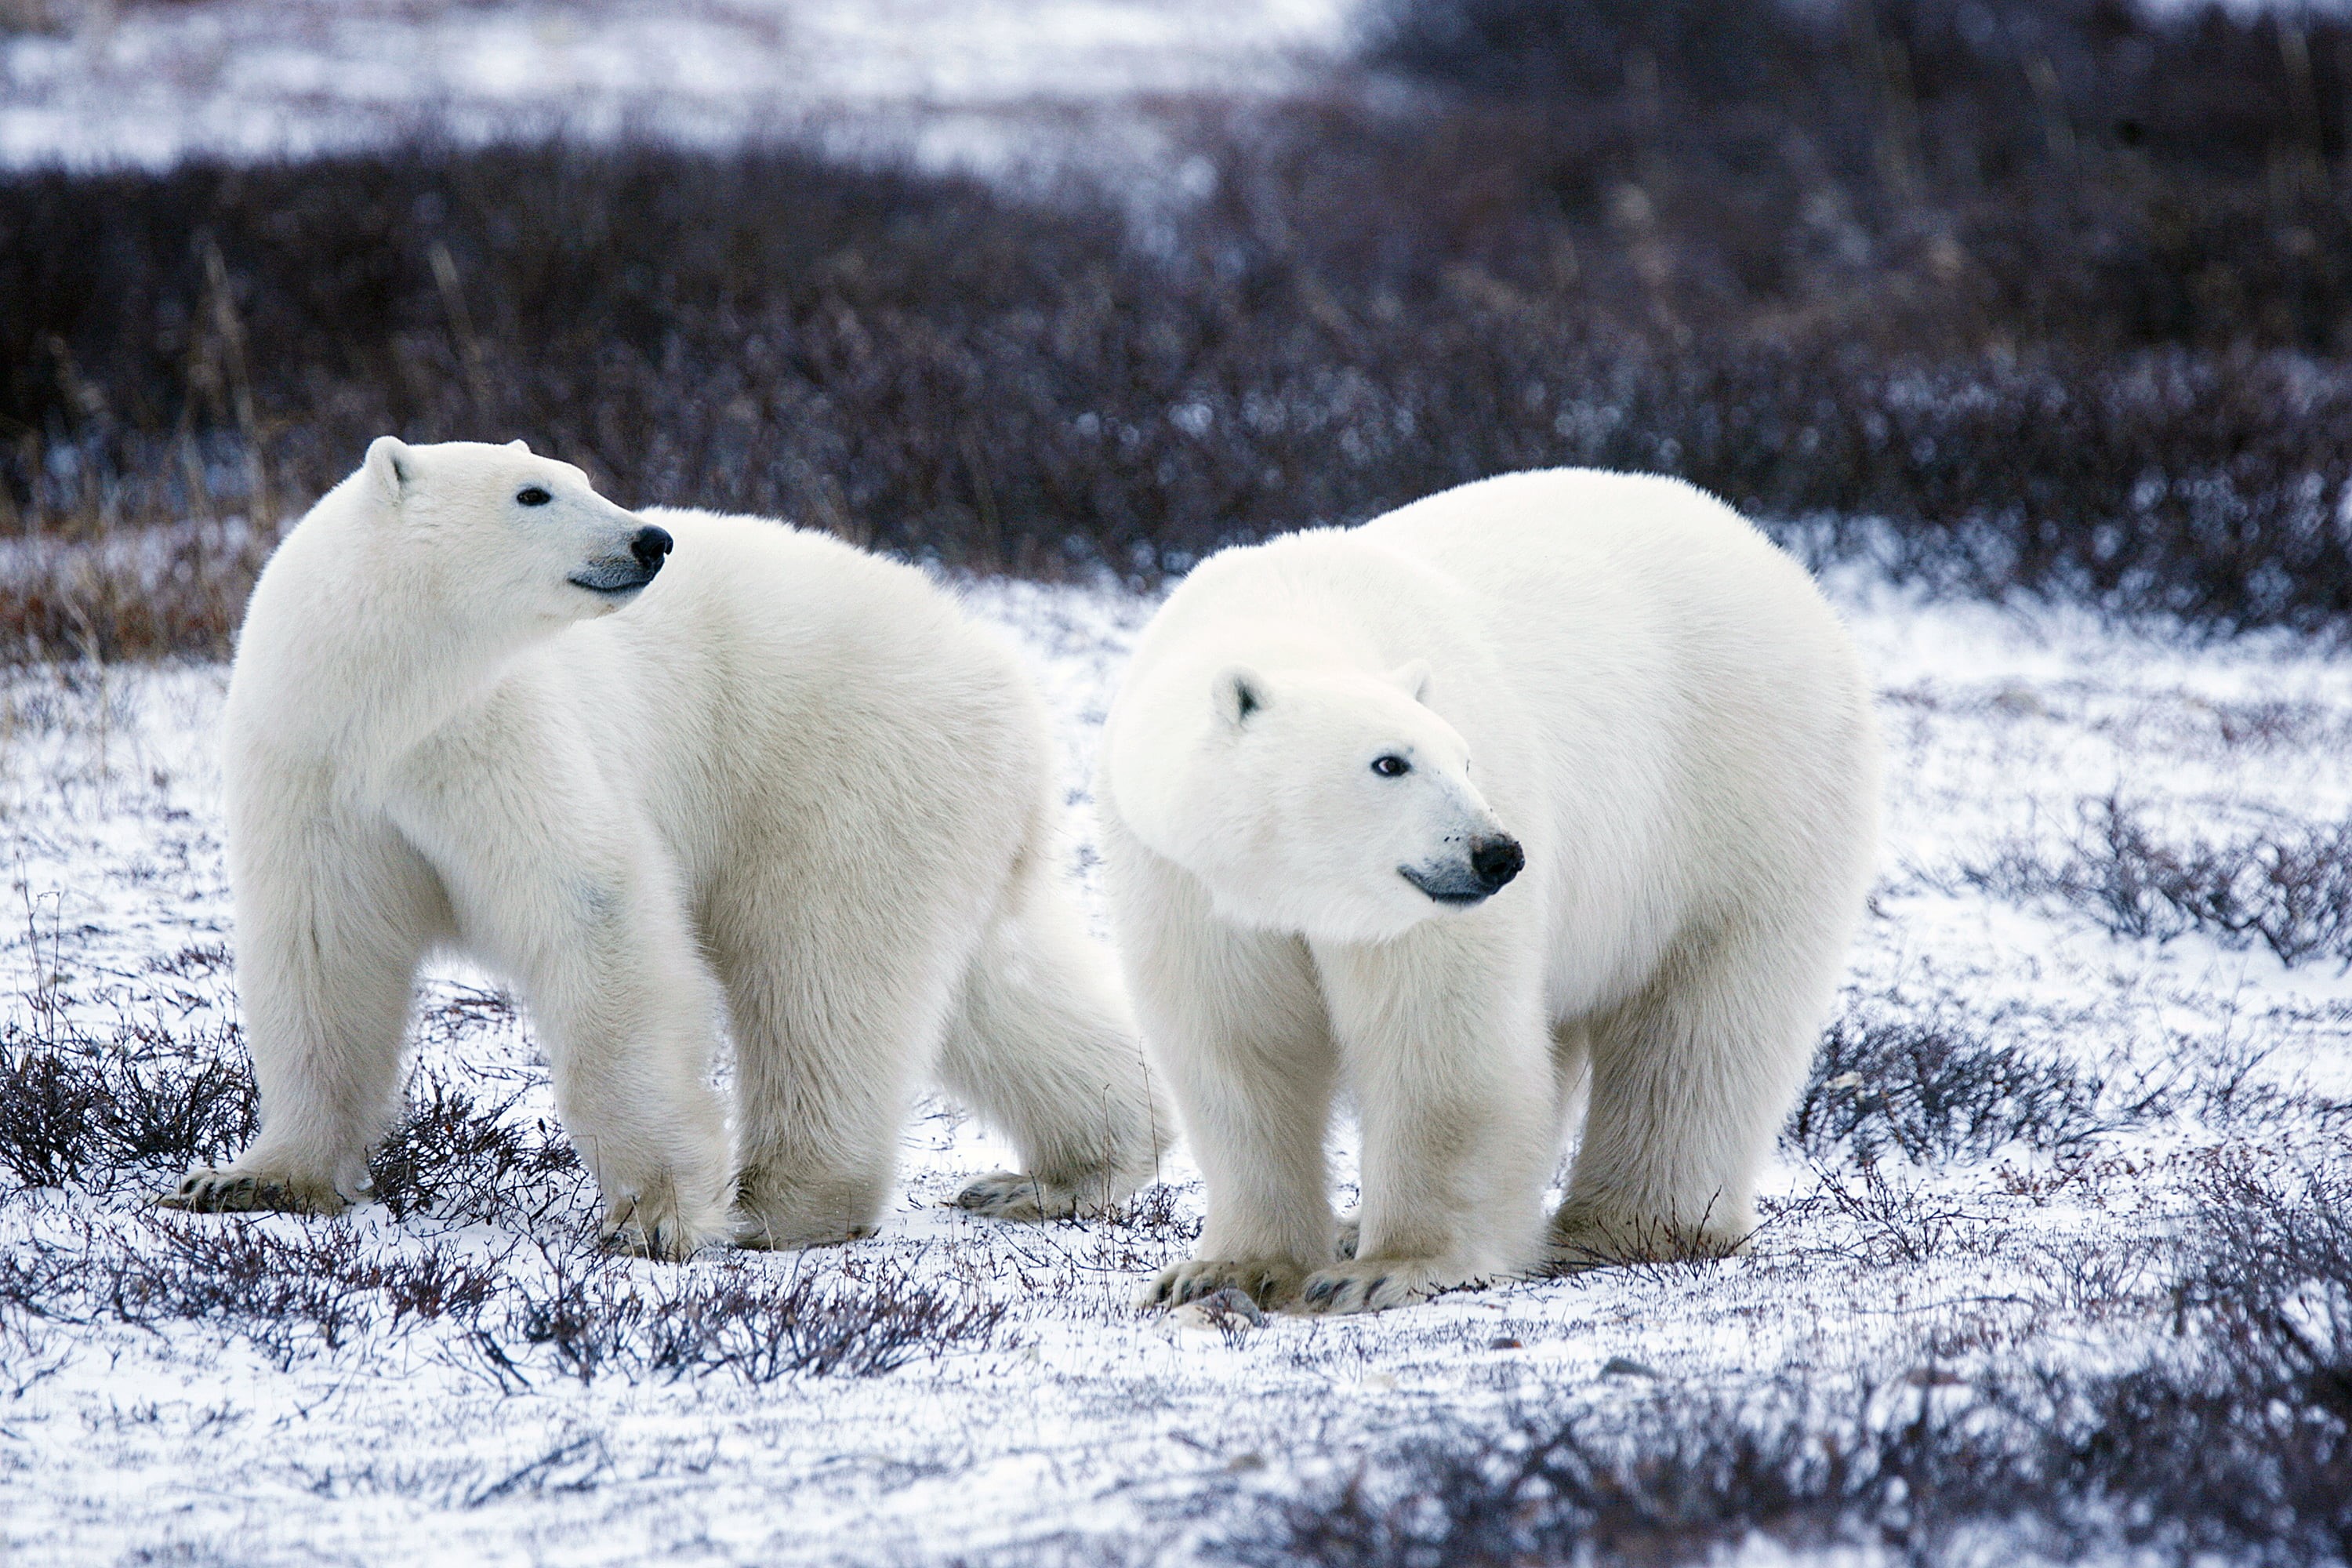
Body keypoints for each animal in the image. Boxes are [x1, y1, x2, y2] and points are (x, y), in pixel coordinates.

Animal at [165, 437, 1167, 1256]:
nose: (651, 539)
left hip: (844, 769)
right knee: (990, 984)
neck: (387, 702)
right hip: (944, 807)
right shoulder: (315, 767)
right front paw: (248, 1177)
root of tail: (1009, 678)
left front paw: (655, 1215)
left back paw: (784, 1203)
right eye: (535, 491)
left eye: (582, 476)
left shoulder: (498, 735)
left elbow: (595, 911)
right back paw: (1067, 1169)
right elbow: (322, 952)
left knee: (820, 971)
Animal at [1099, 467, 1879, 1313]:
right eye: (1390, 762)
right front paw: (1224, 1269)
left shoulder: (1419, 909)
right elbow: (1238, 1046)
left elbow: (1441, 1040)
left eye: (1463, 758)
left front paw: (1388, 1267)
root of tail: (1774, 557)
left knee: (1701, 1026)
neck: (1293, 611)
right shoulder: (1188, 881)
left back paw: (1624, 1225)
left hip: (1742, 793)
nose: (1497, 854)